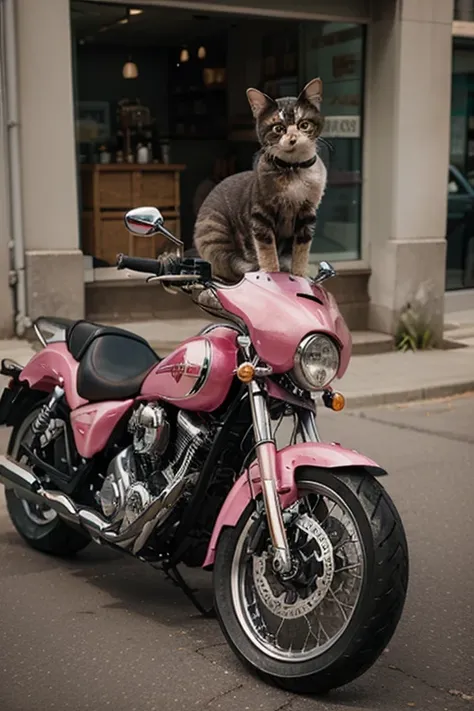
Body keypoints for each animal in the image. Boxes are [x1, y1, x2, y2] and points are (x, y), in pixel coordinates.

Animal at [193, 79, 326, 282]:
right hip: (215, 233)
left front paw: (299, 274)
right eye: (278, 128)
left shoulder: (307, 215)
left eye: (304, 125)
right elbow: (266, 249)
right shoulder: (261, 214)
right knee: (229, 264)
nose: (293, 138)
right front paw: (271, 273)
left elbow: (301, 250)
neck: (293, 169)